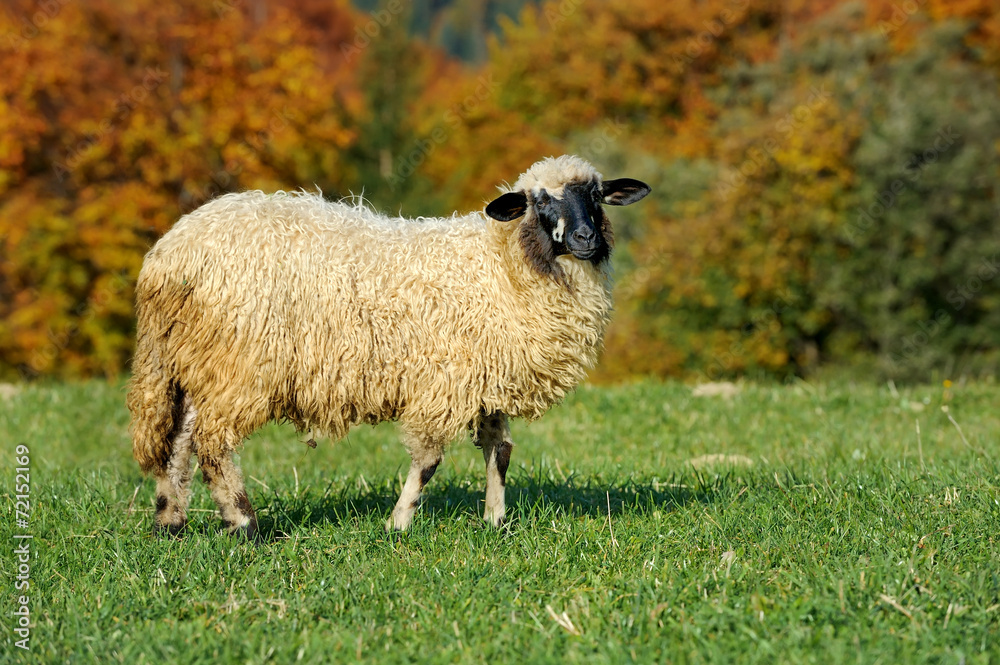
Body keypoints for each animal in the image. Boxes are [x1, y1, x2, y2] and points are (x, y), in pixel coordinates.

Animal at [127, 154, 650, 538]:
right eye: (539, 201)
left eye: (596, 196)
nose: (584, 237)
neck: (502, 263)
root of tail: (166, 256)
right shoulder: (445, 380)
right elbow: (430, 460)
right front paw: (399, 522)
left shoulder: (485, 372)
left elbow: (499, 449)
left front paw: (495, 520)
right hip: (237, 361)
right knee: (213, 442)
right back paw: (245, 524)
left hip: (194, 357)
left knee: (179, 437)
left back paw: (170, 520)